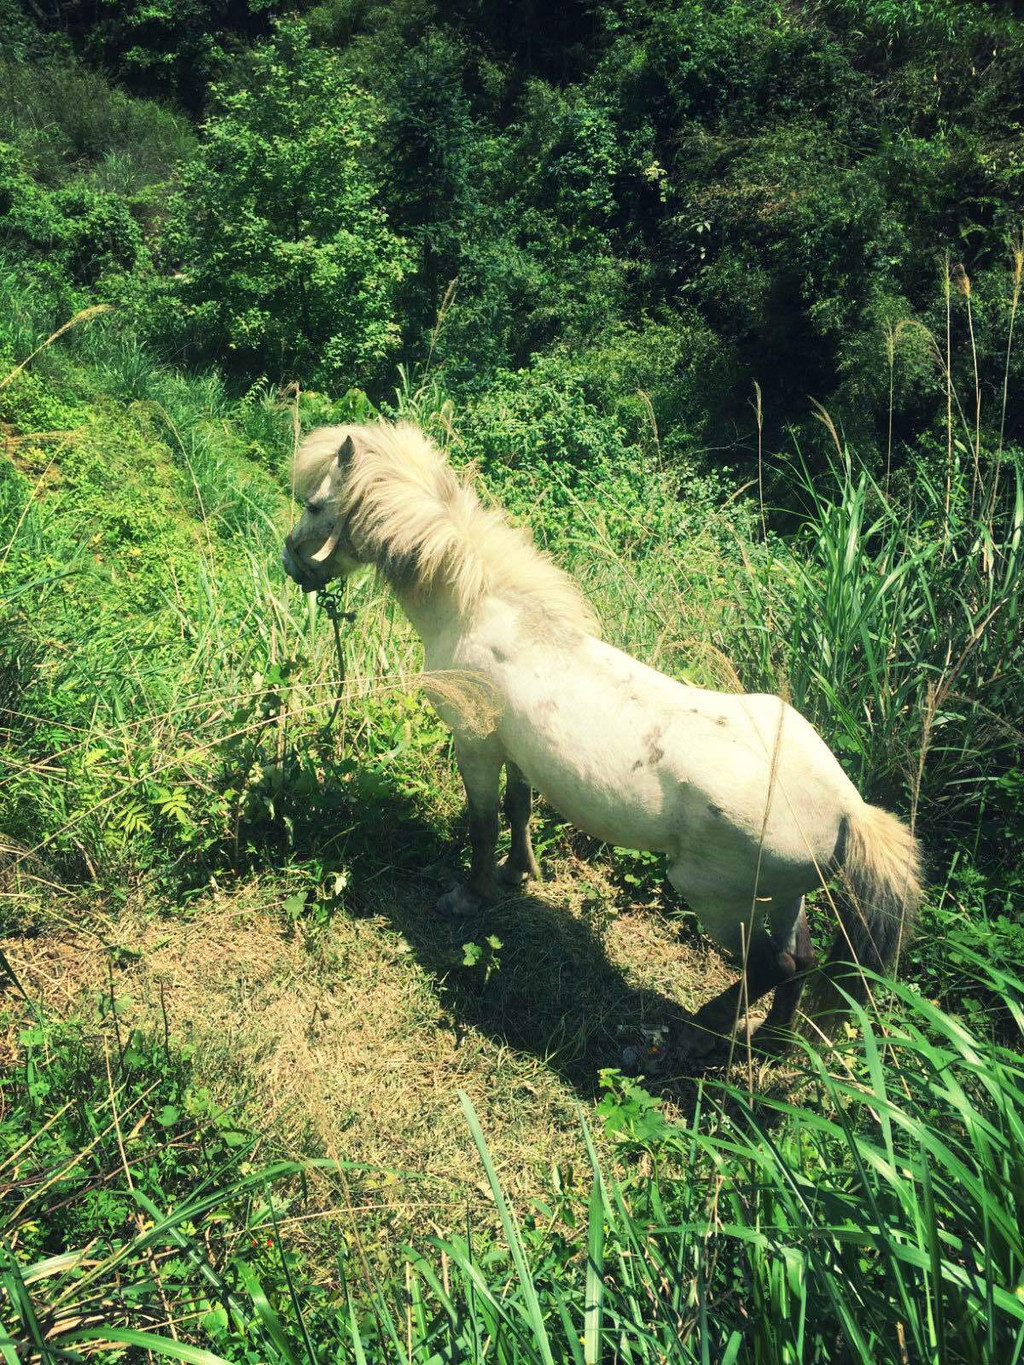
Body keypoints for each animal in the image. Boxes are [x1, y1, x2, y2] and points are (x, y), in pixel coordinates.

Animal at [285, 420, 928, 1059]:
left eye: (315, 504)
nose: (292, 563)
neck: (478, 611)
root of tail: (847, 810)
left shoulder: (475, 746)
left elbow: (483, 823)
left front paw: (471, 894)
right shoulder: (517, 754)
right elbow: (519, 809)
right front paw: (520, 873)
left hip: (716, 899)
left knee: (770, 966)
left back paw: (697, 1030)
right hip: (785, 899)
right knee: (801, 959)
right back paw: (770, 1040)